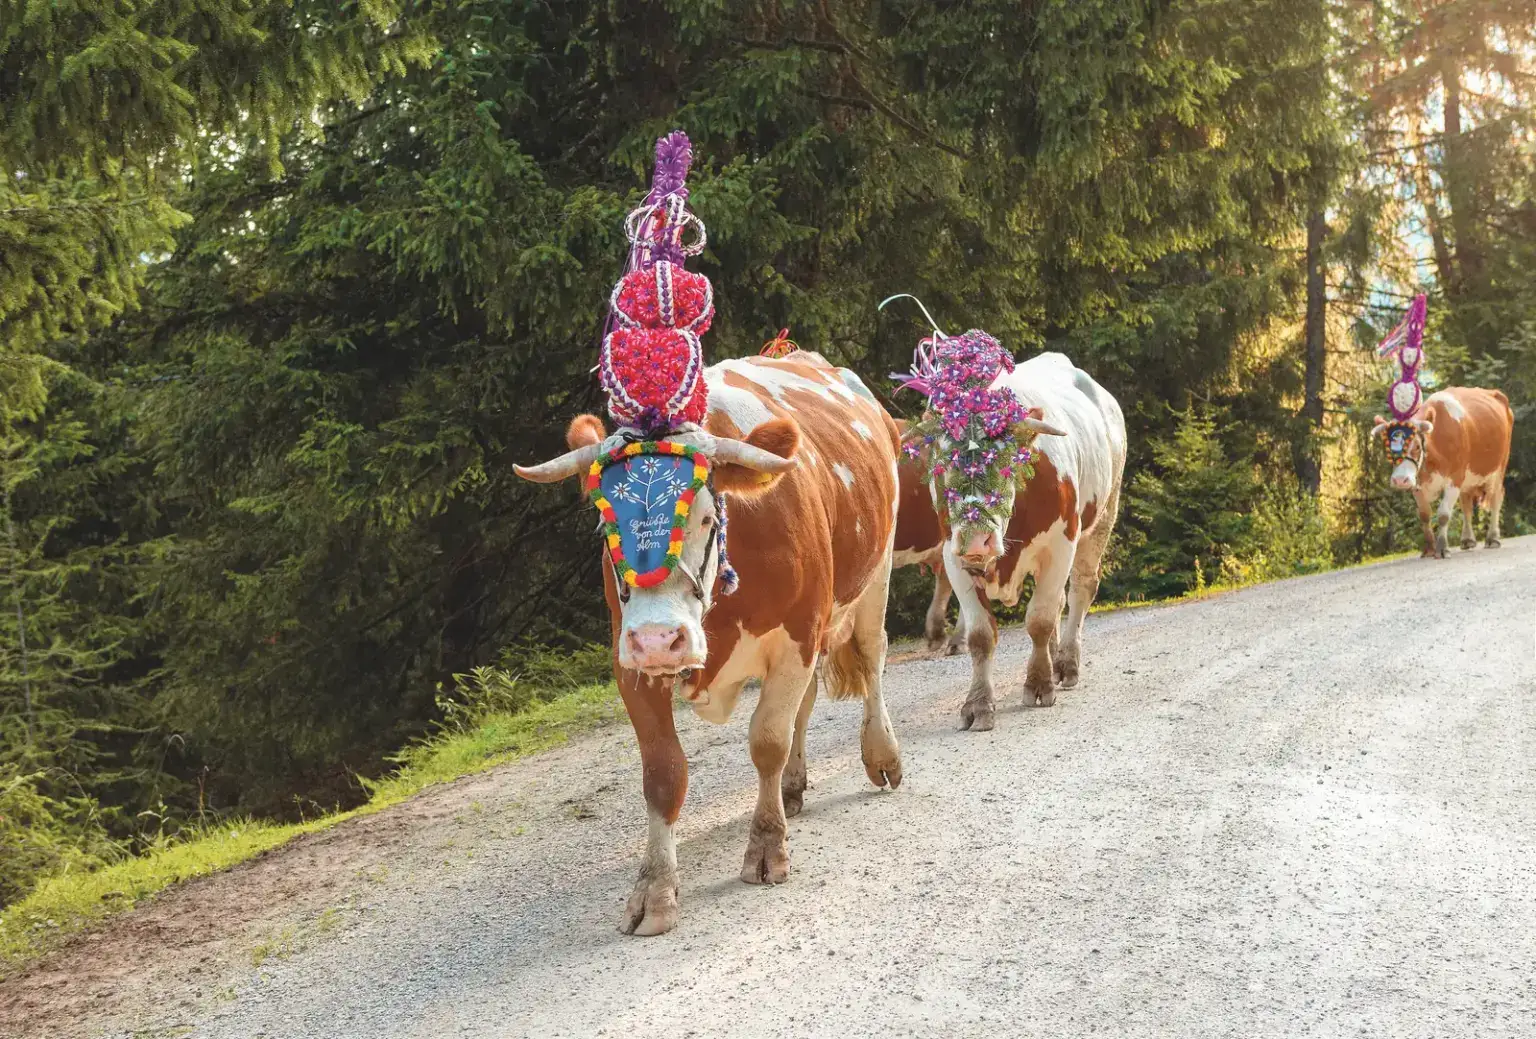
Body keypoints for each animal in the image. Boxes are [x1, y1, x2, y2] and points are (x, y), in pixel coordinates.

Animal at [515, 352, 904, 936]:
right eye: (605, 523)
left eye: (703, 516)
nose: (659, 639)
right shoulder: (627, 658)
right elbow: (663, 773)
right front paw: (654, 889)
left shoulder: (798, 632)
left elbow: (767, 740)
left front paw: (766, 848)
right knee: (808, 702)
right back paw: (793, 786)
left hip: (875, 572)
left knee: (873, 656)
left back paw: (881, 754)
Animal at [894, 350, 1127, 730]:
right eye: (943, 465)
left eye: (1006, 462)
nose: (976, 541)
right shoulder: (952, 556)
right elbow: (980, 635)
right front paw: (978, 704)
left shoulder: (1060, 545)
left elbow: (1040, 619)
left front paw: (1039, 683)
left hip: (1105, 514)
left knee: (1080, 590)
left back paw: (1066, 663)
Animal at [1373, 387, 1514, 558]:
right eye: (1387, 448)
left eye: (1417, 447)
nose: (1400, 480)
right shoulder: (1417, 484)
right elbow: (1425, 515)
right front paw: (1429, 549)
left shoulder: (1454, 478)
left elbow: (1443, 514)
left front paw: (1442, 549)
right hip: (1468, 478)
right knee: (1466, 503)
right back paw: (1467, 539)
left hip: (1499, 467)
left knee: (1496, 498)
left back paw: (1492, 538)